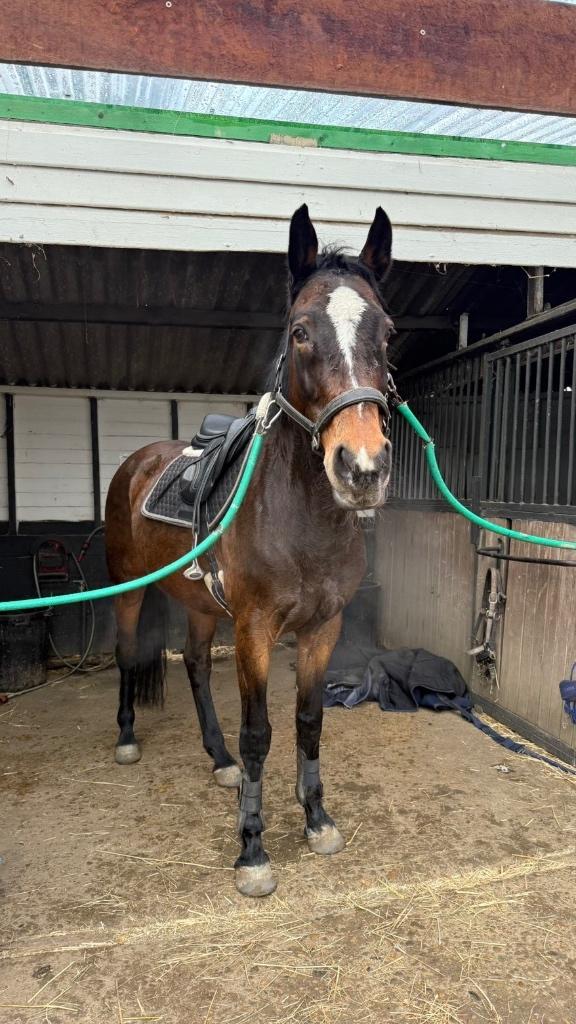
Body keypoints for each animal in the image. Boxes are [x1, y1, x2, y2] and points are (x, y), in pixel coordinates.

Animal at [105, 204, 394, 897]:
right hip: (129, 590)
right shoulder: (256, 630)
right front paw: (253, 849)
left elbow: (309, 720)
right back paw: (128, 738)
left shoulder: (322, 629)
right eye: (300, 332)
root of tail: (137, 461)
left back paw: (219, 758)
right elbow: (260, 730)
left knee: (192, 666)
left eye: (388, 332)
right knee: (128, 654)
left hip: (201, 608)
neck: (301, 519)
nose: (362, 468)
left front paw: (316, 819)